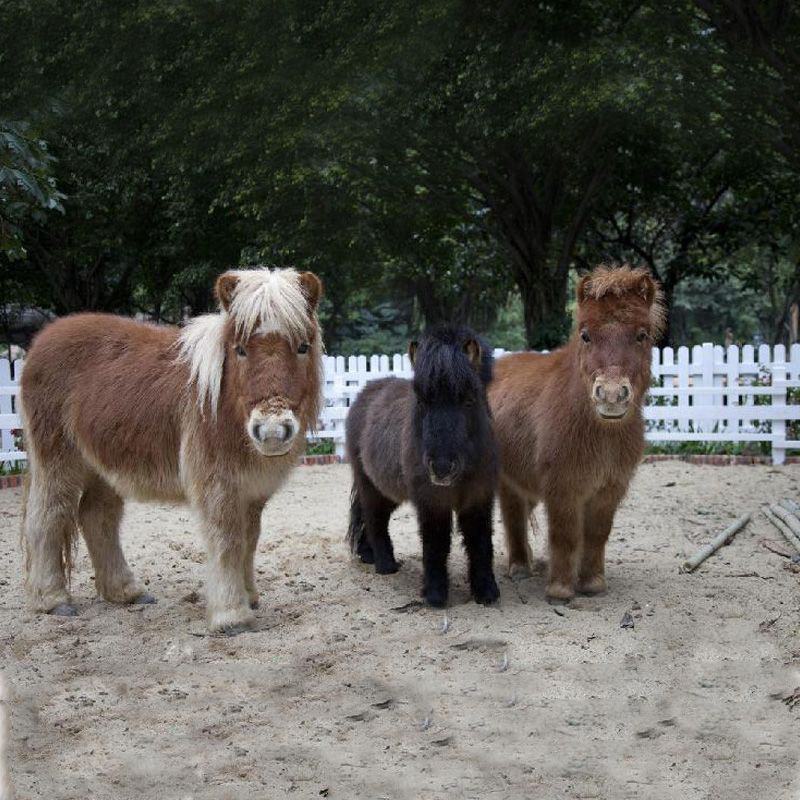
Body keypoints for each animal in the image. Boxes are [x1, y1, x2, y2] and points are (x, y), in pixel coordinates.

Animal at [20, 267, 323, 633]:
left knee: (97, 517)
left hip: (103, 464)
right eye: (239, 350)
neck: (224, 404)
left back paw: (126, 591)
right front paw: (231, 615)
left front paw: (249, 597)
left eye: (303, 347)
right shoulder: (218, 485)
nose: (273, 431)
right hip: (57, 460)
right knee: (49, 515)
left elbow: (249, 541)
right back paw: (53, 599)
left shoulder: (252, 490)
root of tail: (42, 340)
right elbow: (228, 541)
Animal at [345, 324, 500, 607]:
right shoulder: (431, 501)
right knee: (375, 520)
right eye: (422, 401)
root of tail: (366, 392)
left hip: (385, 490)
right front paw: (435, 595)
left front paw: (486, 592)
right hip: (369, 485)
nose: (441, 467)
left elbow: (480, 542)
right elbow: (435, 543)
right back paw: (385, 564)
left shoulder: (478, 498)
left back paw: (367, 554)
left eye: (468, 400)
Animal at [489, 265, 665, 602]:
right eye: (585, 335)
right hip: (507, 480)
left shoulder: (609, 488)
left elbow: (596, 535)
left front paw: (592, 583)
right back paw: (519, 566)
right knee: (513, 515)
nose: (611, 395)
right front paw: (560, 589)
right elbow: (565, 535)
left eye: (641, 335)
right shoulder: (563, 487)